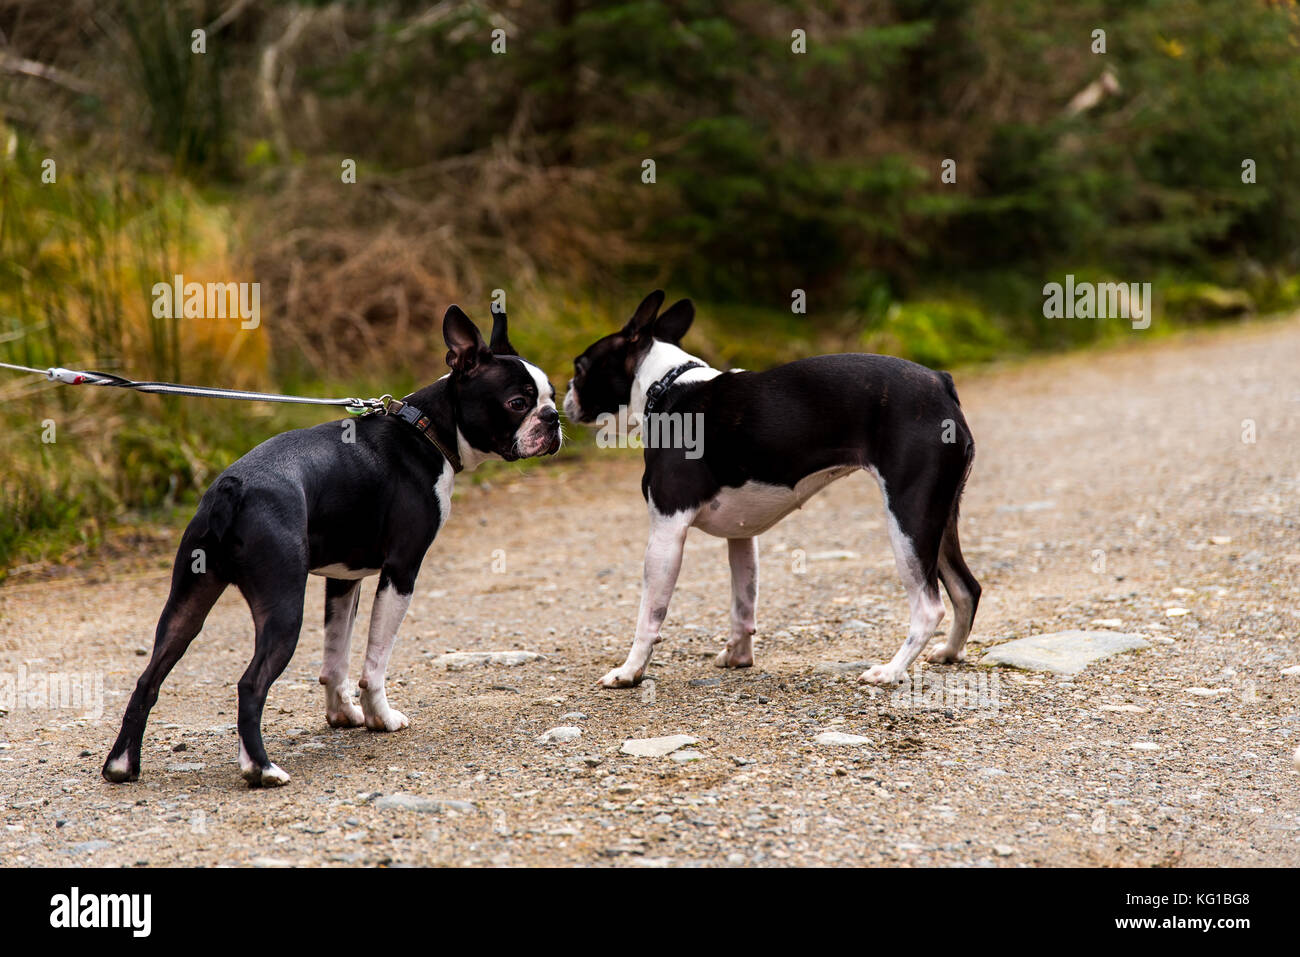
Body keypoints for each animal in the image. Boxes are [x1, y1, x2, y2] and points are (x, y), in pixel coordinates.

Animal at [96, 306, 553, 785]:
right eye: (518, 403)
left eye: (551, 397)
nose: (554, 419)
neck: (426, 430)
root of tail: (233, 488)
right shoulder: (401, 571)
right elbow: (374, 662)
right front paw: (380, 718)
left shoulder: (343, 579)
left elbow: (336, 658)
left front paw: (344, 715)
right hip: (283, 607)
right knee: (251, 683)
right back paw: (261, 767)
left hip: (188, 599)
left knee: (148, 679)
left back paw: (121, 765)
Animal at [564, 289, 977, 686]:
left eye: (579, 367)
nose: (565, 393)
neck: (664, 387)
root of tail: (941, 382)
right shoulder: (741, 535)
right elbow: (742, 603)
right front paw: (738, 656)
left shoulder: (667, 529)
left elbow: (649, 615)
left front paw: (629, 671)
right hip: (939, 516)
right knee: (966, 588)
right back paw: (949, 652)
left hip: (909, 518)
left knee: (929, 606)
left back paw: (891, 671)